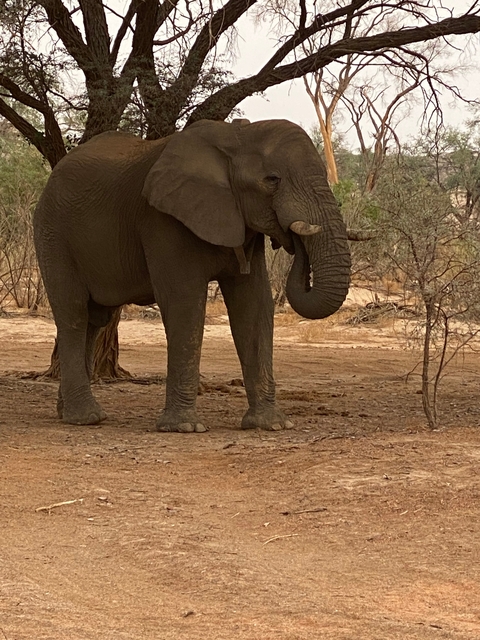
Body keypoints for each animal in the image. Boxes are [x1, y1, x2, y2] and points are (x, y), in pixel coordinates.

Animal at [33, 118, 351, 432]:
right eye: (272, 180)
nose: (292, 239)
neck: (237, 135)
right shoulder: (163, 219)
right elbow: (184, 302)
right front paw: (183, 428)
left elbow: (254, 304)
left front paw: (271, 425)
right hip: (53, 233)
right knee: (74, 313)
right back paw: (85, 418)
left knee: (96, 318)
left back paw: (72, 413)